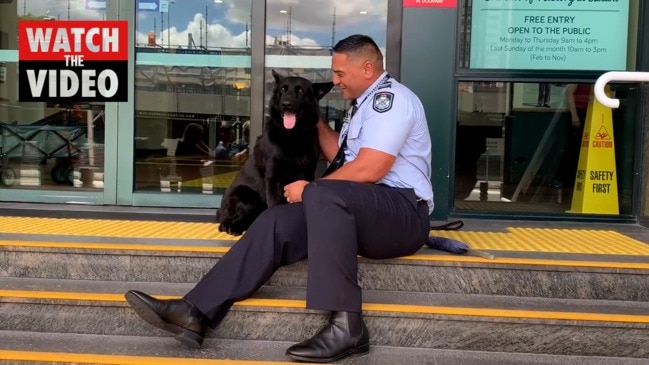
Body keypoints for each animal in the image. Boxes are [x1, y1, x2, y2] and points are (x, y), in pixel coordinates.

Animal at [216, 70, 332, 236]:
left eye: (300, 91)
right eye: (283, 89)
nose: (286, 104)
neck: (294, 135)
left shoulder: (307, 175)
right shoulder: (273, 178)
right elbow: (274, 206)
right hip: (246, 194)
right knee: (227, 221)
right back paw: (232, 226)